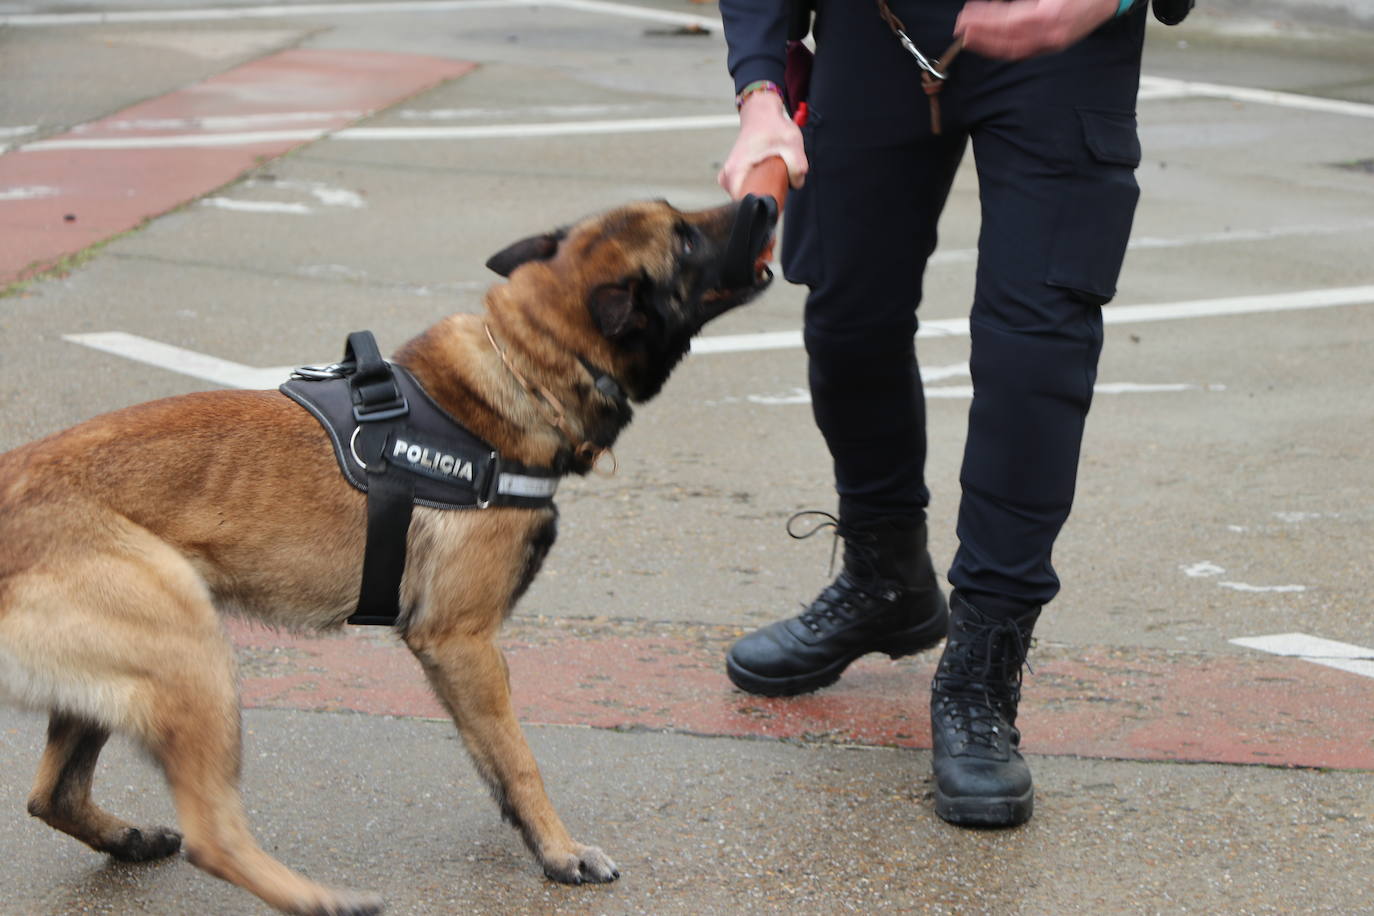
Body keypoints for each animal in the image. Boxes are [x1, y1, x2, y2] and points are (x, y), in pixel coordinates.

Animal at [0, 197, 774, 911]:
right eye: (684, 237)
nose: (766, 200)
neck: (520, 371)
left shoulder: (460, 654)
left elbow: (494, 754)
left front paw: (527, 831)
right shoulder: (460, 640)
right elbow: (521, 759)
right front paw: (558, 850)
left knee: (52, 795)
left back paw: (128, 839)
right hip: (190, 648)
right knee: (210, 836)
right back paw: (321, 899)